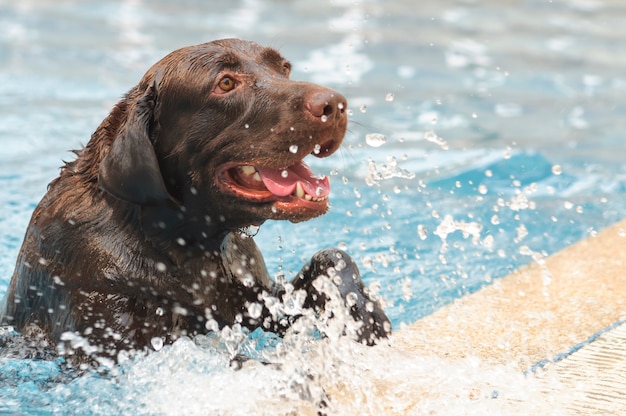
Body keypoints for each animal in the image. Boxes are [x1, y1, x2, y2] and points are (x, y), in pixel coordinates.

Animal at [0, 39, 388, 364]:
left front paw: (365, 319)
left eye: (284, 68)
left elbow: (333, 258)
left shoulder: (259, 299)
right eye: (226, 83)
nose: (334, 105)